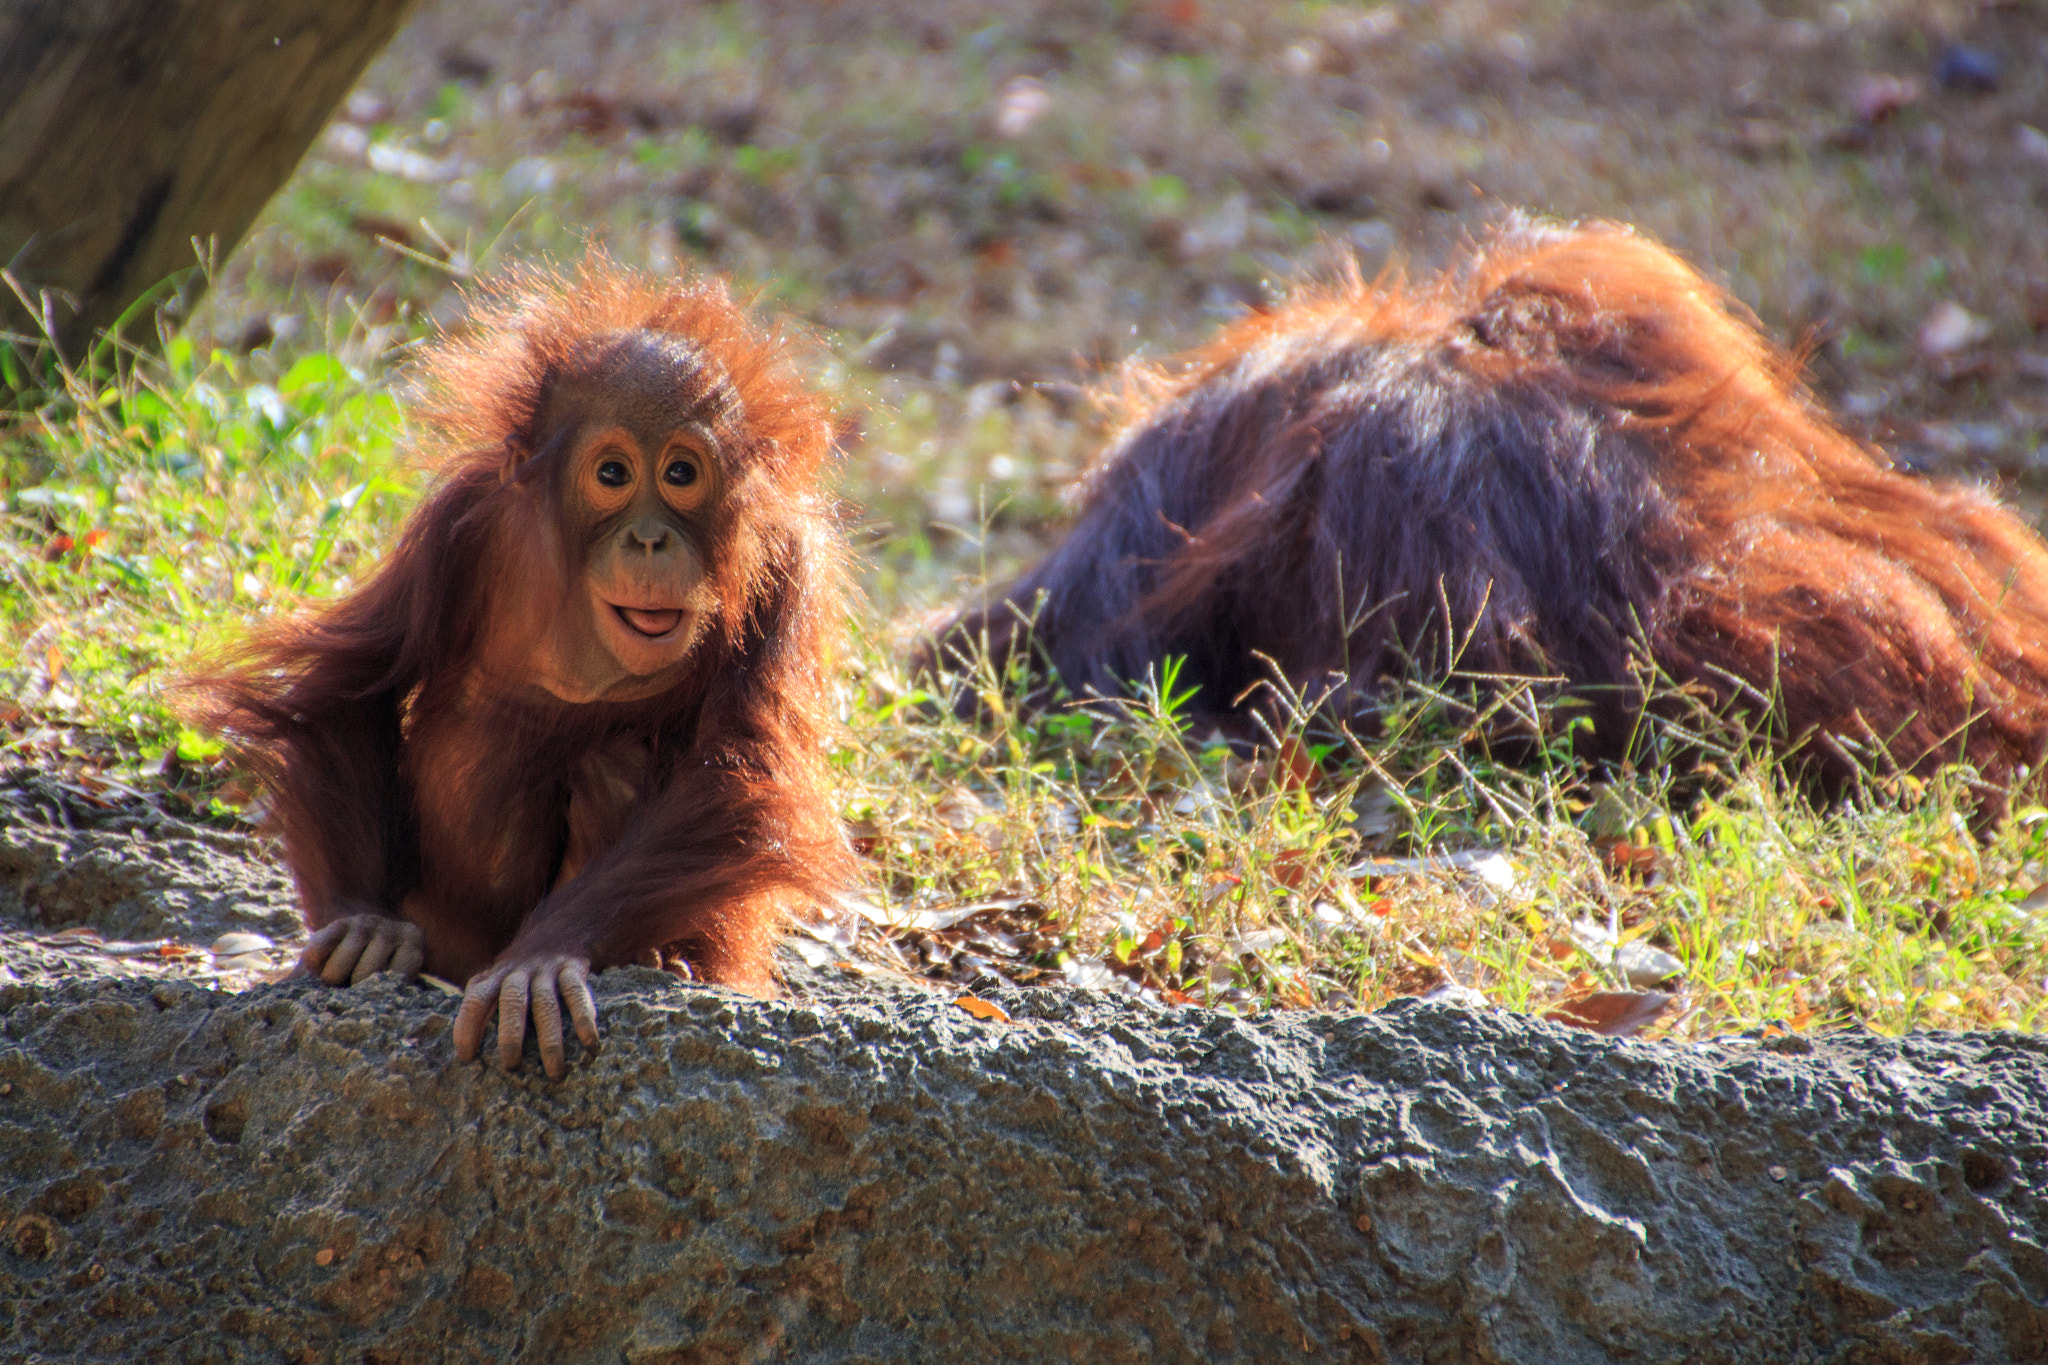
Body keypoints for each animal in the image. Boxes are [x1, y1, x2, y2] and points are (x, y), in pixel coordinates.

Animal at [193, 260, 853, 1078]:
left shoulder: (788, 565)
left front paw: (539, 960)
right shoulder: (457, 523)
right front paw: (362, 923)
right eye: (612, 473)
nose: (648, 539)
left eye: (681, 473)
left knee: (614, 758)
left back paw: (659, 961)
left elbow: (739, 773)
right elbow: (357, 684)